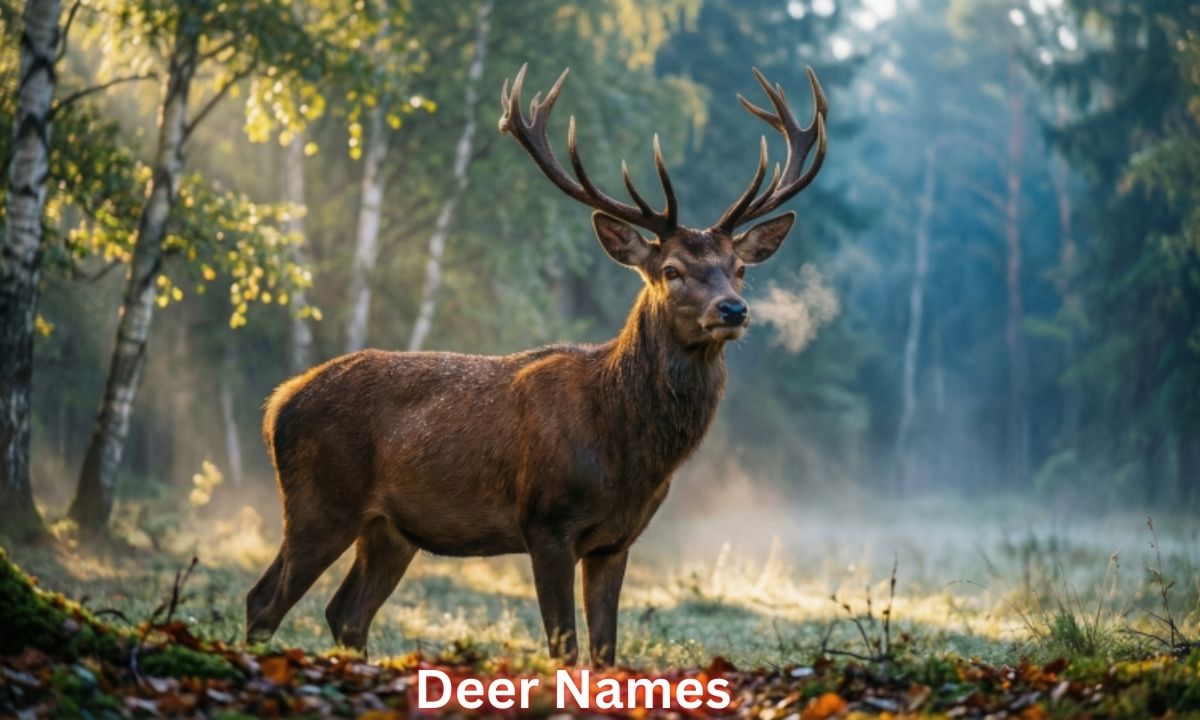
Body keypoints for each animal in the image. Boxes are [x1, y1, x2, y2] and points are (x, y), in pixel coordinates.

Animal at [246, 64, 828, 666]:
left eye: (739, 268)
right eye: (671, 270)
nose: (733, 309)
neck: (625, 449)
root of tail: (276, 405)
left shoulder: (617, 540)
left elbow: (605, 652)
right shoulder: (546, 522)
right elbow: (563, 647)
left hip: (391, 529)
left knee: (346, 612)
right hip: (320, 501)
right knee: (264, 600)